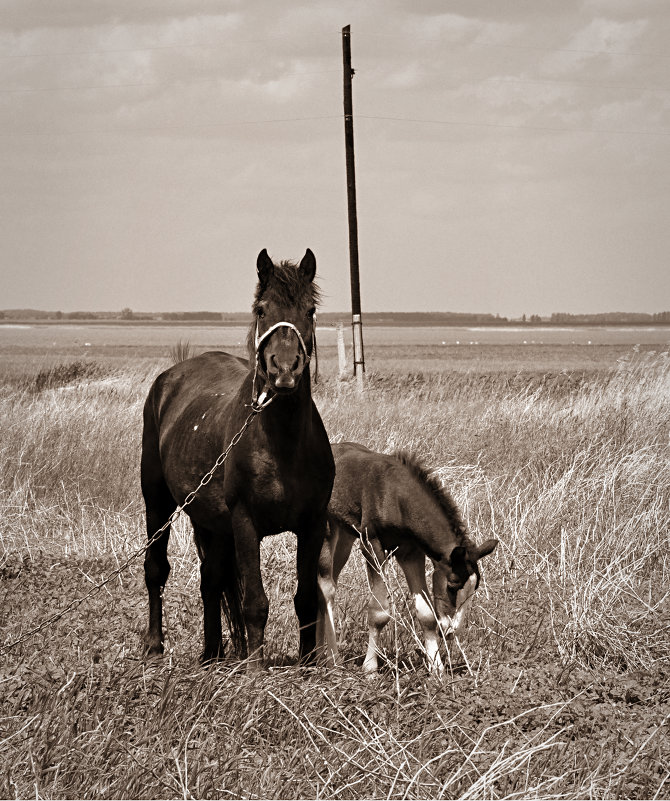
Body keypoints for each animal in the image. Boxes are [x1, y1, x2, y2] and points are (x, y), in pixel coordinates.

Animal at [142, 250, 336, 668]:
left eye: (310, 310)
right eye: (262, 309)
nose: (284, 370)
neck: (282, 444)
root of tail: (172, 375)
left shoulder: (312, 524)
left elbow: (306, 598)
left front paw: (308, 664)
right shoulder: (245, 522)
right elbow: (255, 603)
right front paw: (255, 668)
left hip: (211, 522)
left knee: (211, 580)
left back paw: (212, 652)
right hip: (157, 501)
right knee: (155, 569)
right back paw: (153, 644)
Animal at [318, 440, 498, 672]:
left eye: (474, 589)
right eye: (452, 585)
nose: (450, 631)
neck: (395, 496)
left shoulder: (411, 553)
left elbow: (426, 613)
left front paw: (436, 667)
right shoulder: (372, 545)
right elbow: (378, 612)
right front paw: (370, 667)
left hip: (345, 535)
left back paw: (317, 654)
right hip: (327, 528)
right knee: (326, 588)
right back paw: (332, 659)